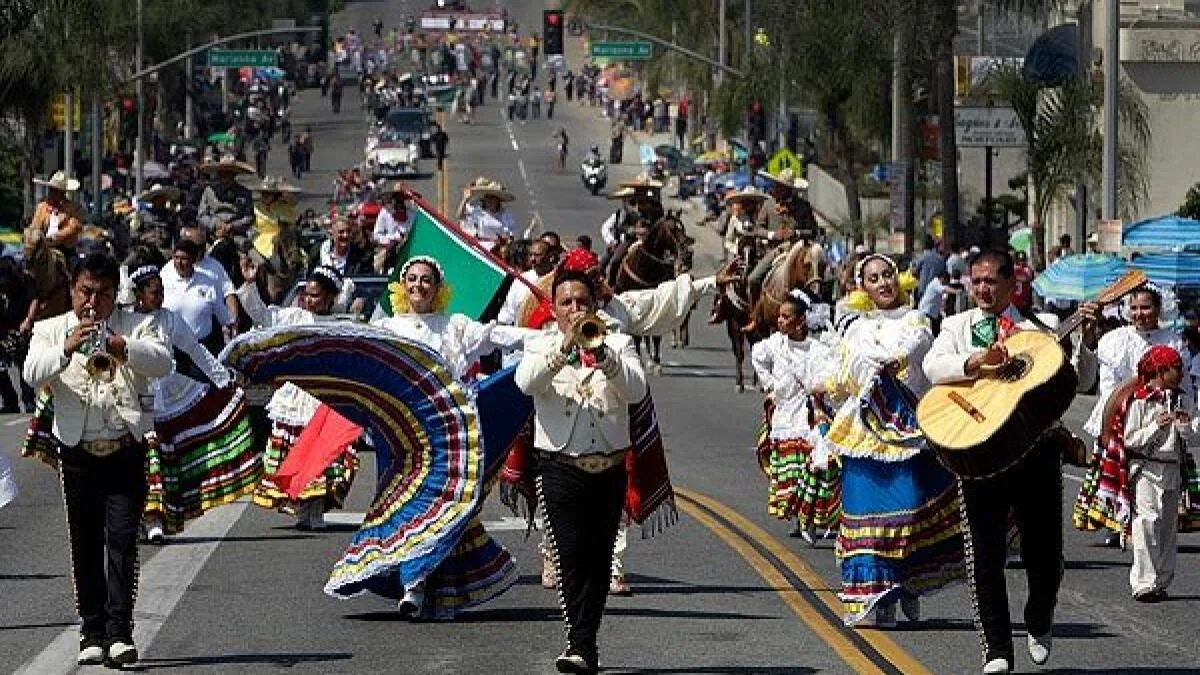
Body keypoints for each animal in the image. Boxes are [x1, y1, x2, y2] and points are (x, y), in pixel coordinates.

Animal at [614, 208, 691, 369]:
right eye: (672, 229)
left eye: (683, 228)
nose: (687, 253)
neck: (645, 267)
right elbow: (637, 335)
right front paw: (639, 358)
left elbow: (655, 335)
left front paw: (656, 361)